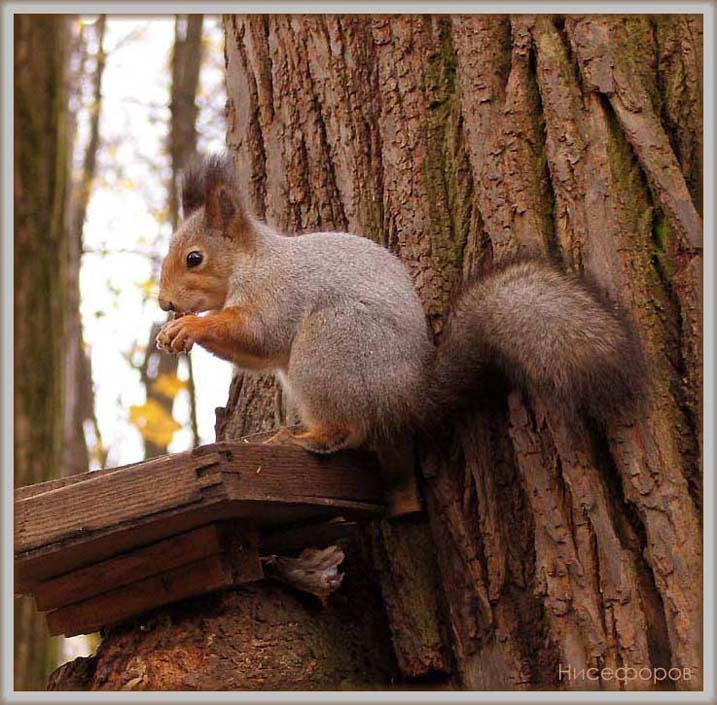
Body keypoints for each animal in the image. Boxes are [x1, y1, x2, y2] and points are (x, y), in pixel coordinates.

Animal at [156, 154, 644, 454]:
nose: (163, 303)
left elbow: (258, 333)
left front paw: (191, 326)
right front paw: (172, 331)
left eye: (194, 258)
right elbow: (255, 353)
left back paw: (302, 438)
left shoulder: (278, 292)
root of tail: (404, 393)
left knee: (348, 430)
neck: (253, 261)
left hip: (329, 345)